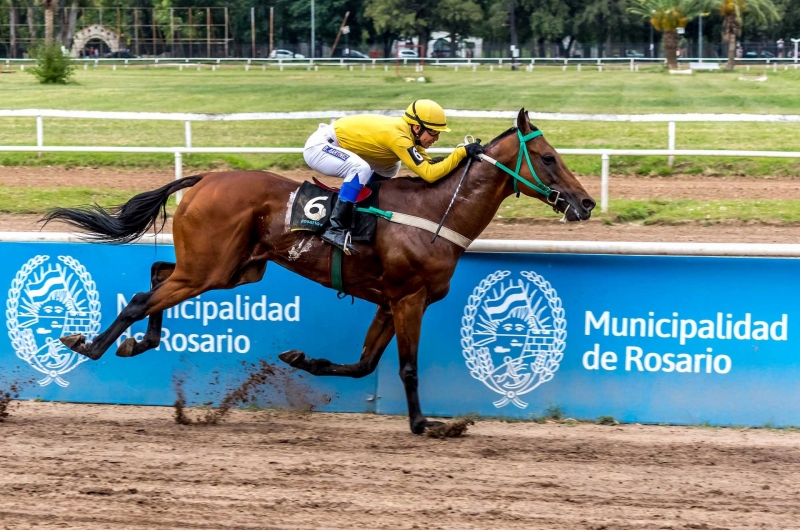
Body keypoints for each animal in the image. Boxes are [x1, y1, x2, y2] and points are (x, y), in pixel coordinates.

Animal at [43, 108, 592, 434]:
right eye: (548, 158)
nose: (585, 203)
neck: (436, 213)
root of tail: (204, 179)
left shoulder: (390, 301)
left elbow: (365, 363)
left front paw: (301, 358)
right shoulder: (409, 299)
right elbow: (407, 367)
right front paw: (424, 424)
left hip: (232, 269)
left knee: (158, 273)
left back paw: (137, 342)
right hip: (210, 269)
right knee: (141, 298)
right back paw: (89, 344)